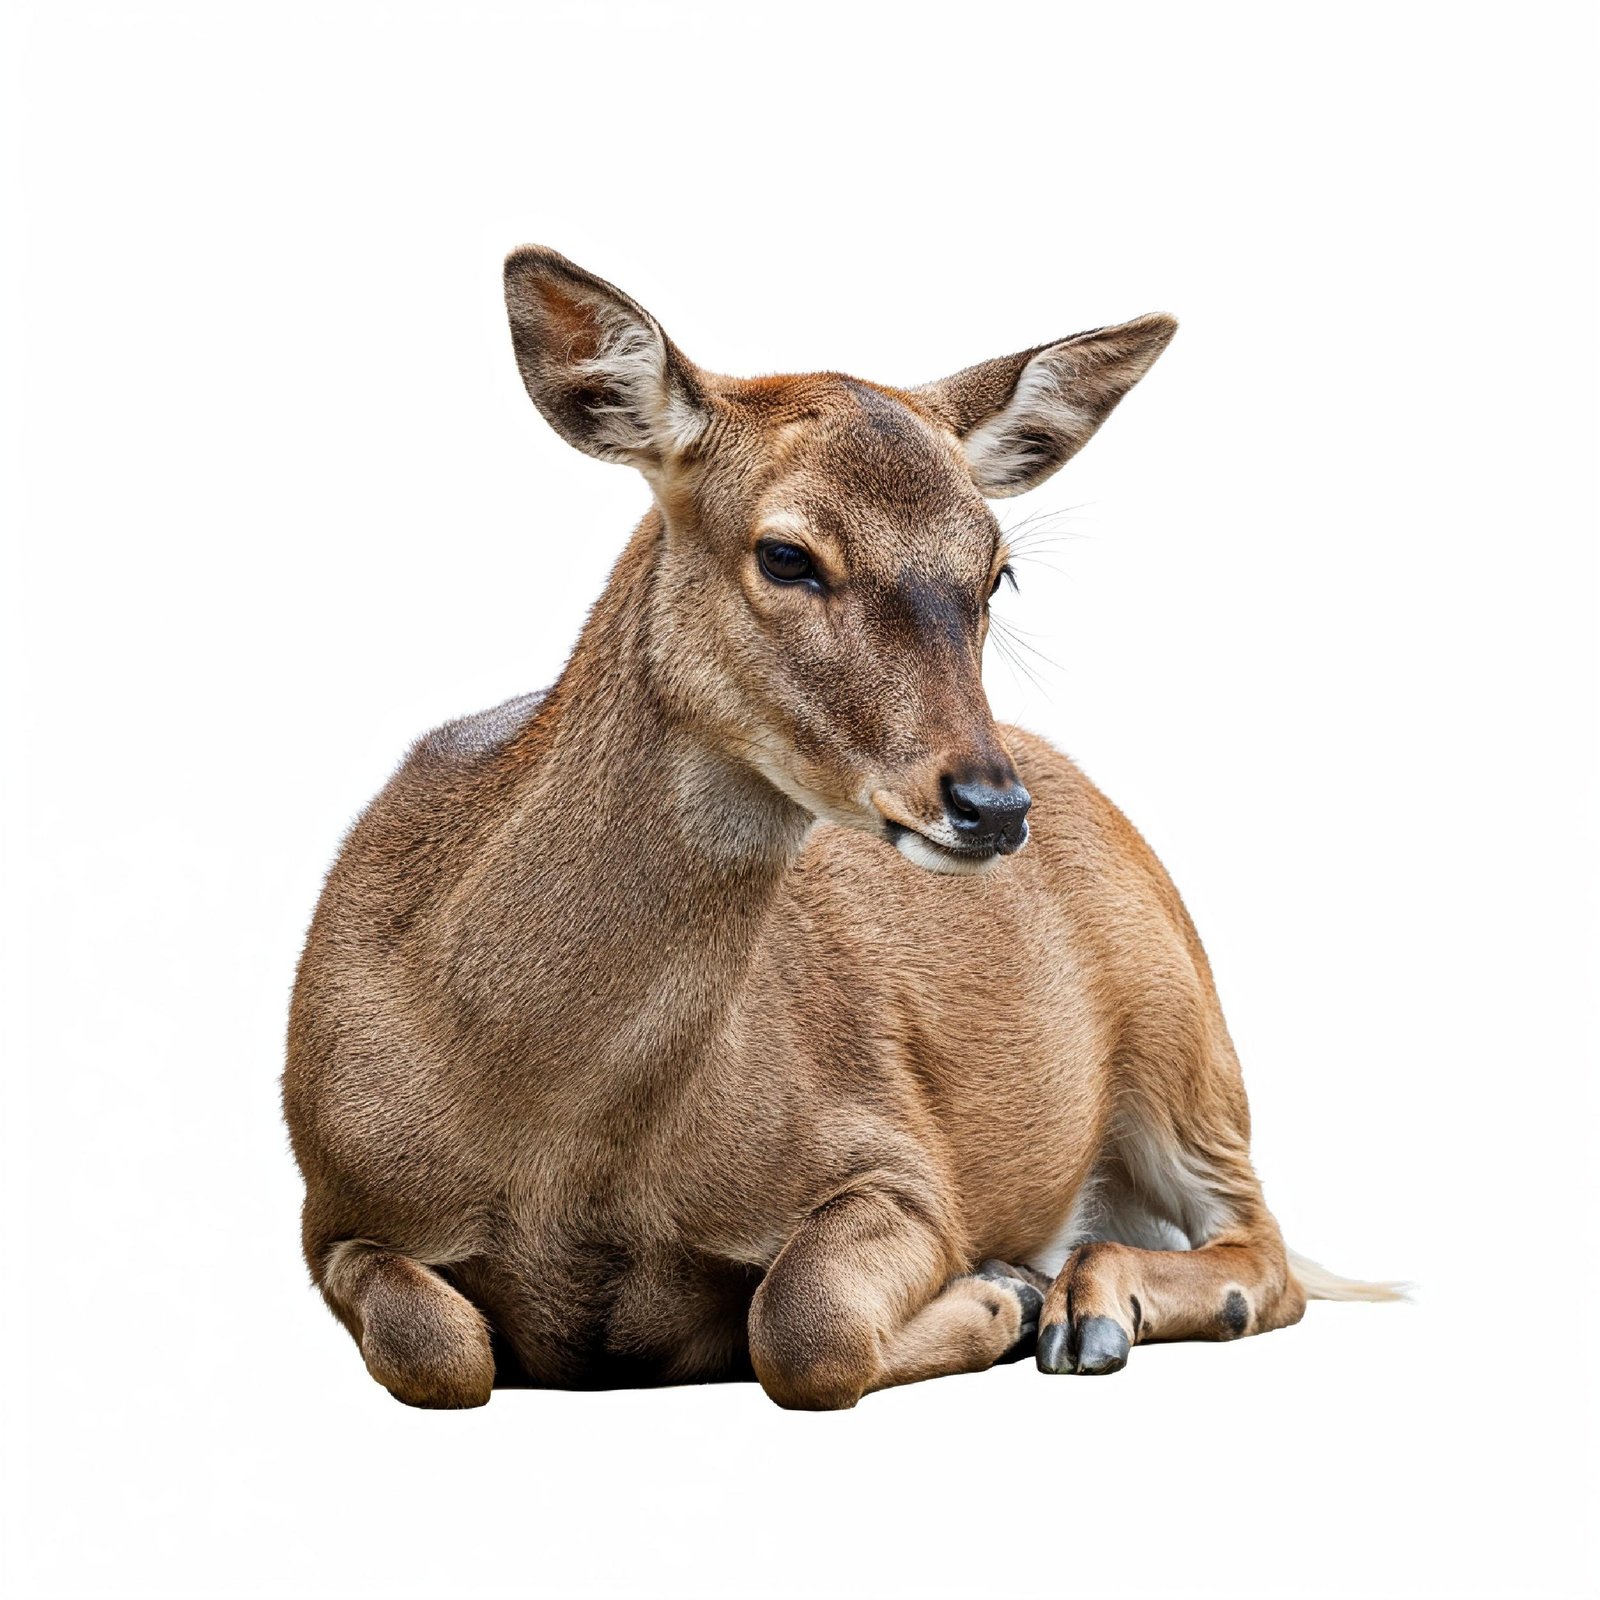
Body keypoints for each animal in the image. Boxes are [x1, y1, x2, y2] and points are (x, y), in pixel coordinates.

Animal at [283, 245, 1398, 1411]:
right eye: (785, 554)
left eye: (995, 569)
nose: (991, 804)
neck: (570, 1152)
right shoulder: (337, 1211)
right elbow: (440, 1352)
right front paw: (1003, 1296)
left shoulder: (900, 1158)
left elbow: (802, 1323)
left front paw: (998, 1295)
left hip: (1185, 1033)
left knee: (1267, 1253)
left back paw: (1083, 1305)